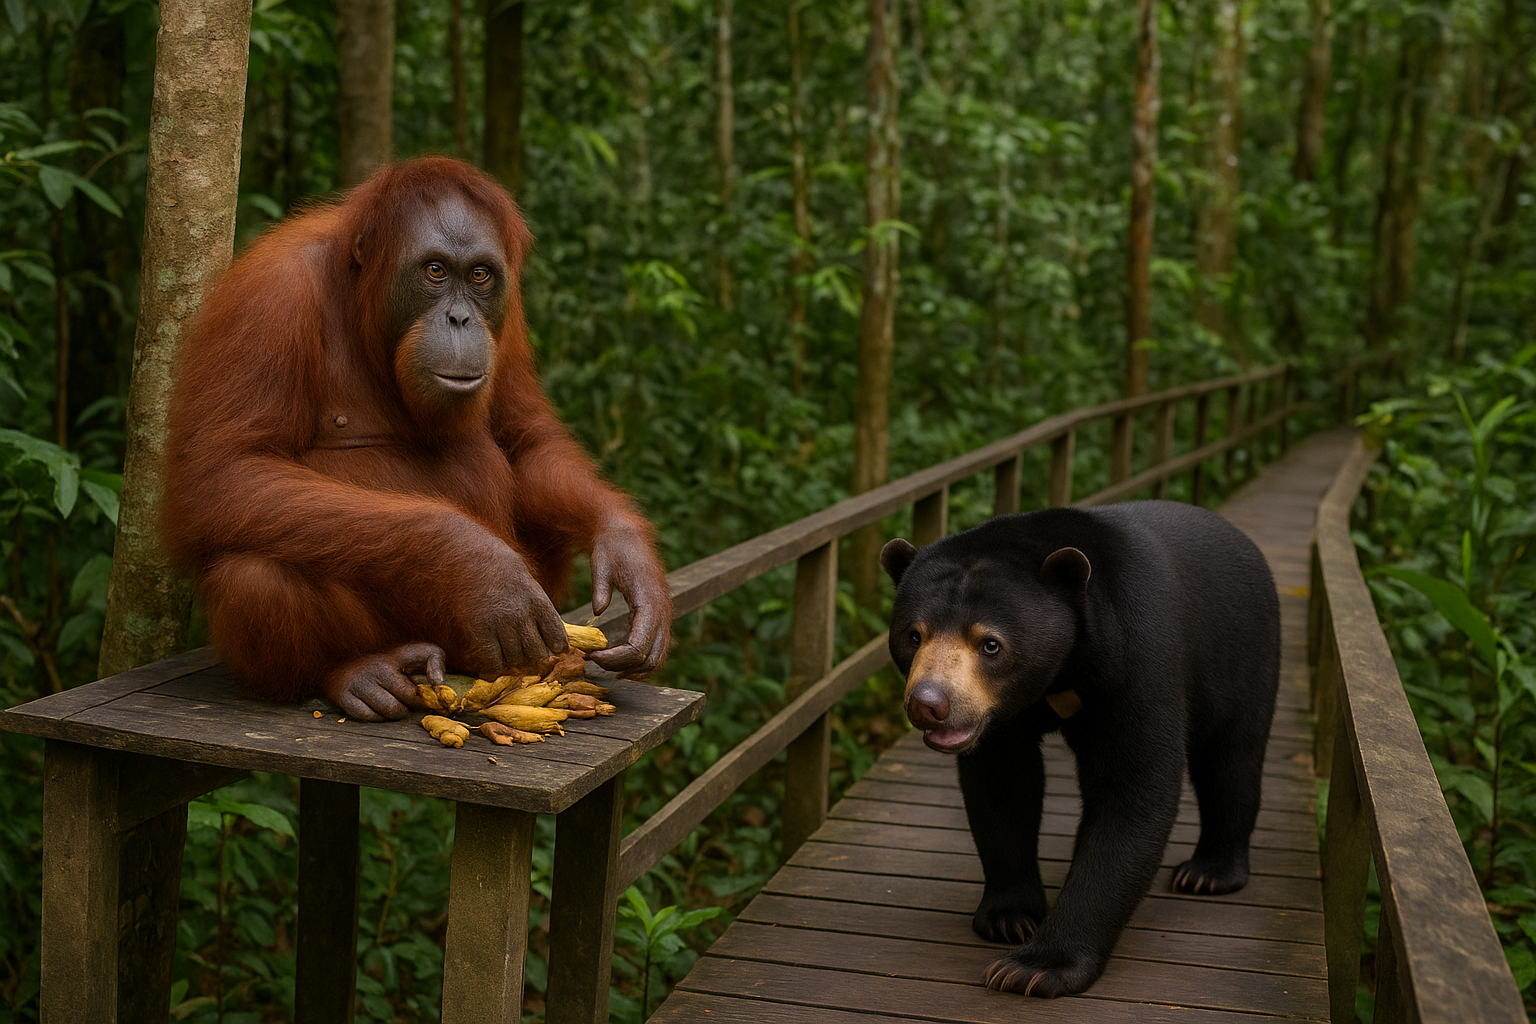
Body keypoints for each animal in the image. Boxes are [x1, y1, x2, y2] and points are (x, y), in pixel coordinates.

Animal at [879, 499, 1280, 998]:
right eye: (913, 635)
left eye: (990, 644)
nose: (930, 705)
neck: (1060, 677)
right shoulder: (1000, 716)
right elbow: (1002, 786)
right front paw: (1010, 917)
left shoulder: (1136, 659)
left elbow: (1132, 790)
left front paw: (1033, 968)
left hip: (1241, 650)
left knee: (1231, 756)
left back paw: (1209, 871)